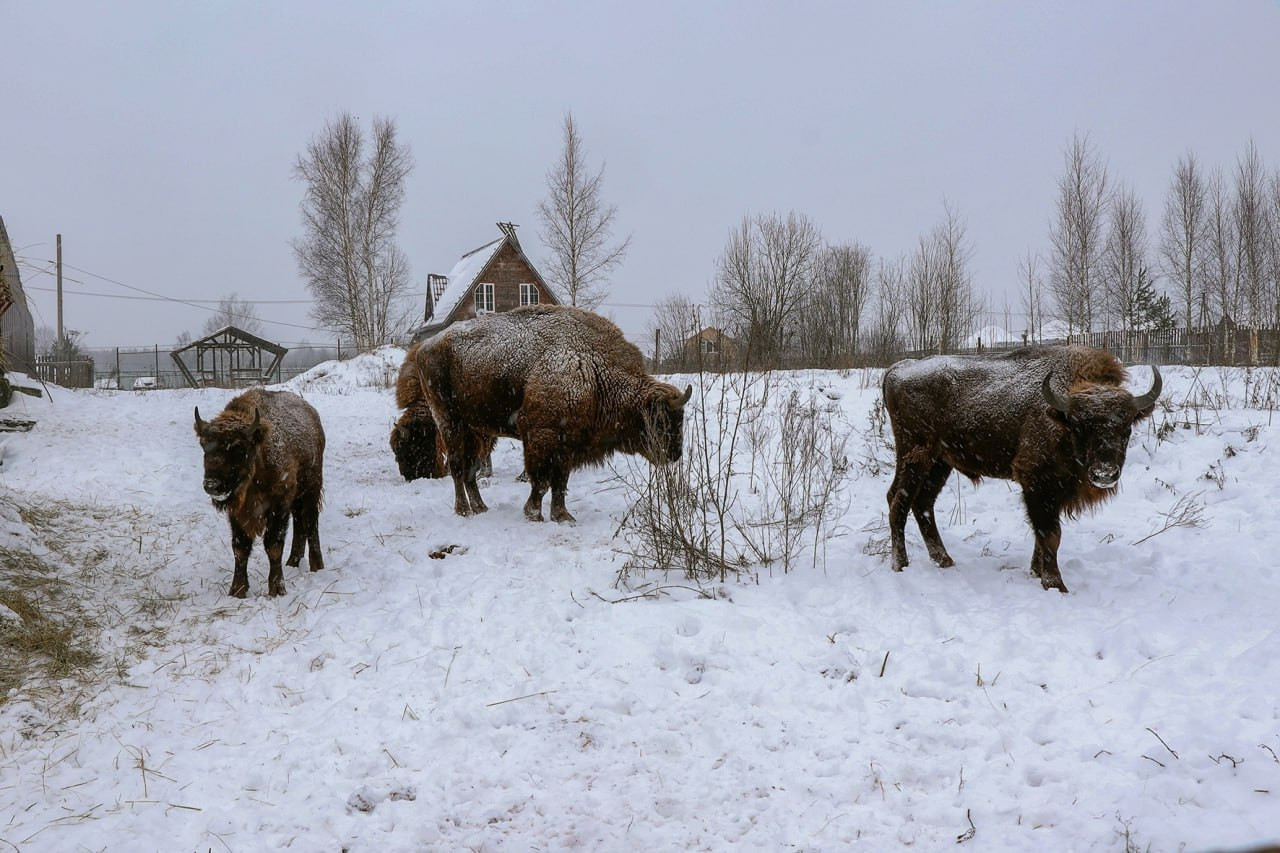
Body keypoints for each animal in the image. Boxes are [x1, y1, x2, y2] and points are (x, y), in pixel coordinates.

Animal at [194, 386, 327, 594]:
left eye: (239, 448)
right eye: (204, 446)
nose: (212, 485)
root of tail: (312, 414)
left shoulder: (278, 506)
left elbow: (273, 545)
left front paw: (277, 590)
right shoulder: (237, 512)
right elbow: (240, 548)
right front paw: (237, 591)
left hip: (312, 488)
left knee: (310, 522)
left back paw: (316, 566)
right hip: (297, 498)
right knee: (300, 524)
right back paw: (292, 563)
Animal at [409, 302, 691, 522]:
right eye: (661, 420)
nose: (675, 454)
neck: (595, 372)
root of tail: (425, 347)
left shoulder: (567, 446)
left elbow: (560, 483)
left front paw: (563, 516)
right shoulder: (542, 438)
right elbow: (542, 481)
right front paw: (533, 514)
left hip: (476, 430)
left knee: (470, 468)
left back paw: (480, 507)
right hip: (449, 422)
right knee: (458, 466)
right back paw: (464, 510)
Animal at [885, 345, 1167, 591]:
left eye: (1126, 428)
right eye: (1078, 426)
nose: (1104, 474)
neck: (1060, 418)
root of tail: (898, 369)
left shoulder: (1053, 491)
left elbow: (1041, 537)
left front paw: (1035, 571)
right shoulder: (1037, 483)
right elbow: (1050, 534)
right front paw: (1055, 584)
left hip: (940, 462)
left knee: (922, 503)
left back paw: (944, 560)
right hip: (916, 456)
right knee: (899, 502)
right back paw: (900, 565)